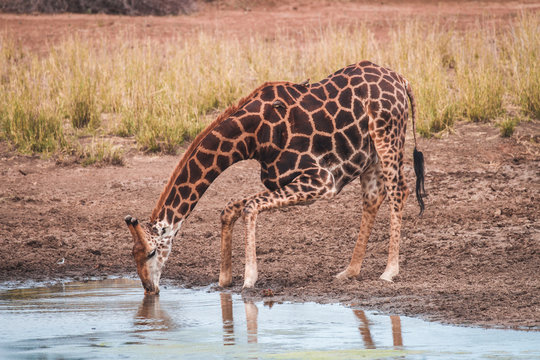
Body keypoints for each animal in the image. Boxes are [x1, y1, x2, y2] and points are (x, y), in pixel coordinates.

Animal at [124, 60, 424, 294]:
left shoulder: (321, 180)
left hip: (388, 137)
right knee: (374, 197)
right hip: (368, 154)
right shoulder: (279, 181)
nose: (149, 289)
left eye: (151, 252)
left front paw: (248, 280)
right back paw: (350, 271)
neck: (252, 137)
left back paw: (389, 271)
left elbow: (249, 207)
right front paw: (224, 280)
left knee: (399, 191)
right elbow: (230, 208)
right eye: (132, 255)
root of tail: (403, 80)